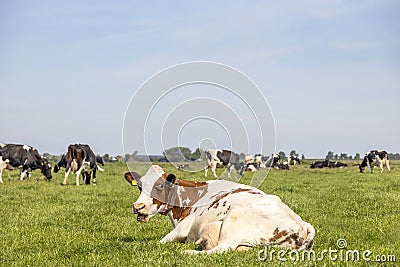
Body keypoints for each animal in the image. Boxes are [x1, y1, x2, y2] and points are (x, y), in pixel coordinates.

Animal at [128, 165, 316, 255]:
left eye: (159, 186)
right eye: (139, 187)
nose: (137, 207)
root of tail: (302, 224)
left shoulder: (182, 229)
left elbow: (159, 242)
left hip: (235, 217)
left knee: (222, 249)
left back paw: (188, 252)